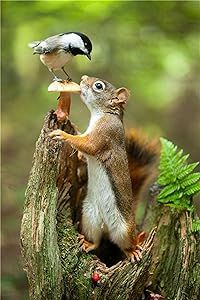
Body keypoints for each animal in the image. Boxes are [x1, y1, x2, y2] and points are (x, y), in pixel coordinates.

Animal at [49, 75, 159, 262]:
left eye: (98, 86)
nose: (83, 79)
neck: (102, 114)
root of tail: (107, 227)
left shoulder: (105, 134)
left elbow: (89, 145)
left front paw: (63, 135)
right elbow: (84, 153)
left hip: (124, 230)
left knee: (126, 244)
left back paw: (133, 251)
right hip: (89, 218)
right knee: (97, 240)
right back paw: (88, 243)